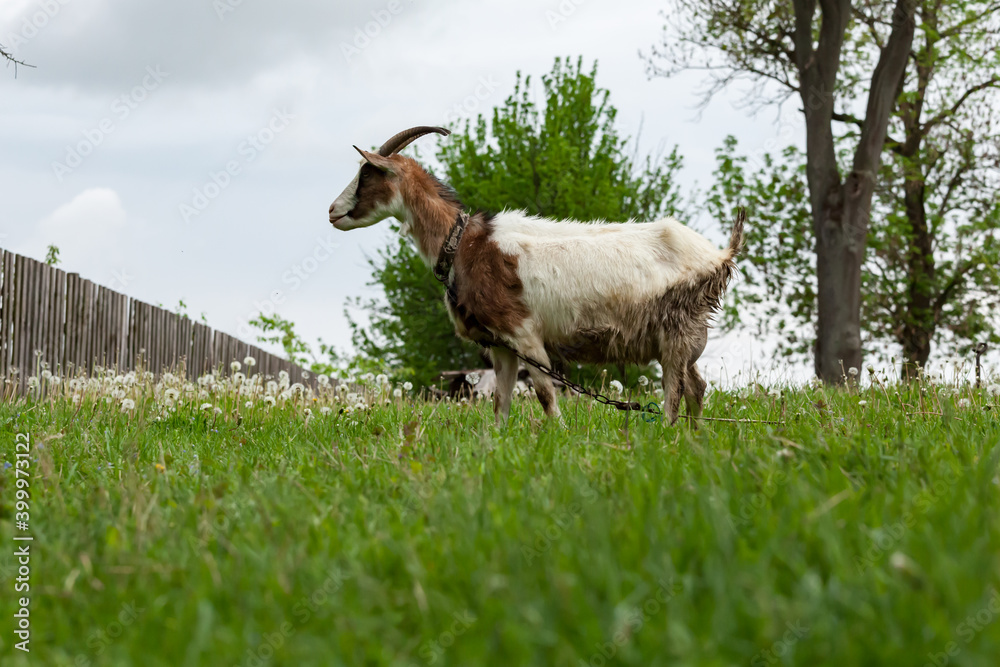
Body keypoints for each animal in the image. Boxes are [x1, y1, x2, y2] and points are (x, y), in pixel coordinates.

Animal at [328, 128, 744, 426]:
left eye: (367, 172)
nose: (332, 211)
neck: (463, 244)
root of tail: (719, 255)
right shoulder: (499, 345)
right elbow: (500, 403)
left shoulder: (523, 333)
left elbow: (545, 395)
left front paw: (559, 437)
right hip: (684, 337)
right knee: (697, 387)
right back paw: (694, 440)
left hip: (676, 332)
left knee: (676, 391)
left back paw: (668, 437)